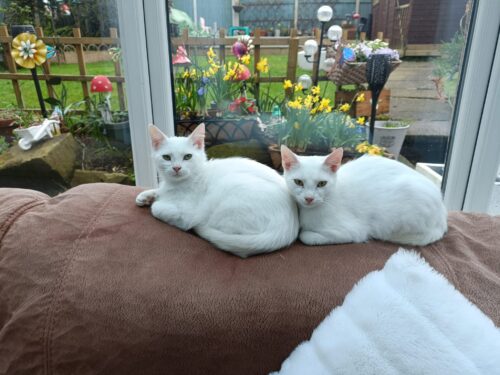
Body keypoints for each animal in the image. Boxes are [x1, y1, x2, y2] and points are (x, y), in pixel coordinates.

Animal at [282, 146, 450, 247]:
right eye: (298, 182)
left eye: (322, 183)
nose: (309, 198)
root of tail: (442, 215)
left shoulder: (353, 231)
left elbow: (305, 236)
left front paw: (308, 234)